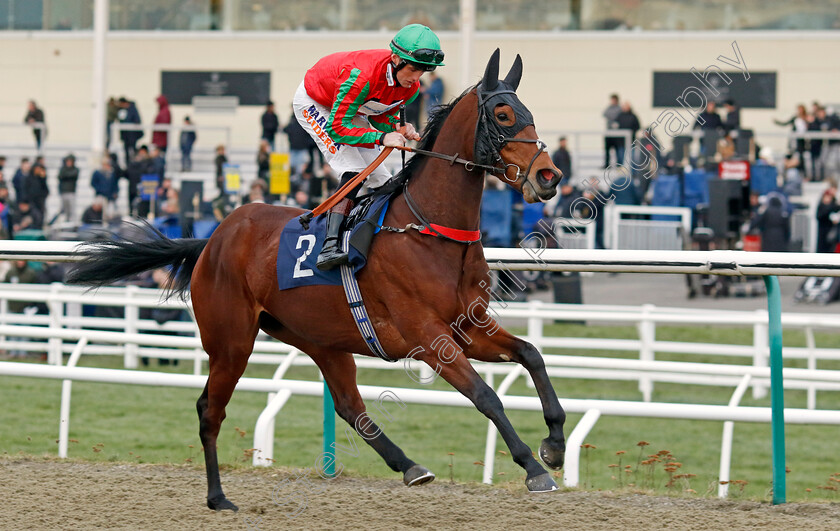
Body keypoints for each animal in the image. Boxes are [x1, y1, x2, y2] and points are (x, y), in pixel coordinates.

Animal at [69, 51, 568, 512]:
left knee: (350, 406)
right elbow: (486, 396)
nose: (549, 175)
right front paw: (534, 467)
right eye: (503, 115)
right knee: (210, 410)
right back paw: (218, 497)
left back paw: (410, 466)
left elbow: (532, 355)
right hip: (231, 341)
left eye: (528, 111)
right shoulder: (429, 338)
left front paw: (555, 445)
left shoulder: (470, 326)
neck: (431, 230)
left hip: (321, 339)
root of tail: (213, 239)